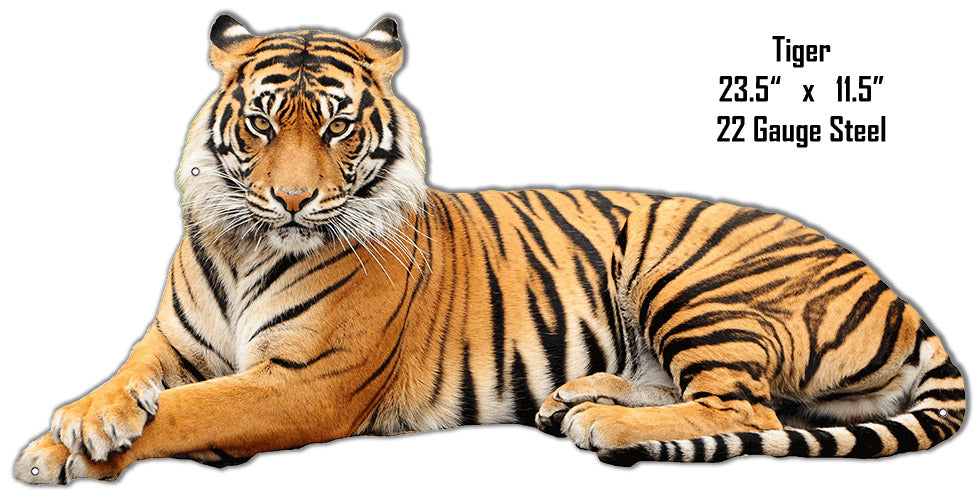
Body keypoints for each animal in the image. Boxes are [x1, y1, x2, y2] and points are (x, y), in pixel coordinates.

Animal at [14, 15, 966, 484]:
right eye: (261, 123)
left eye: (337, 126)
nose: (291, 199)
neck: (250, 245)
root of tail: (895, 290)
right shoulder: (169, 342)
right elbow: (128, 382)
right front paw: (79, 423)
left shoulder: (305, 383)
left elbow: (191, 411)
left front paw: (71, 450)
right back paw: (578, 397)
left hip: (695, 280)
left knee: (749, 410)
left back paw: (603, 421)